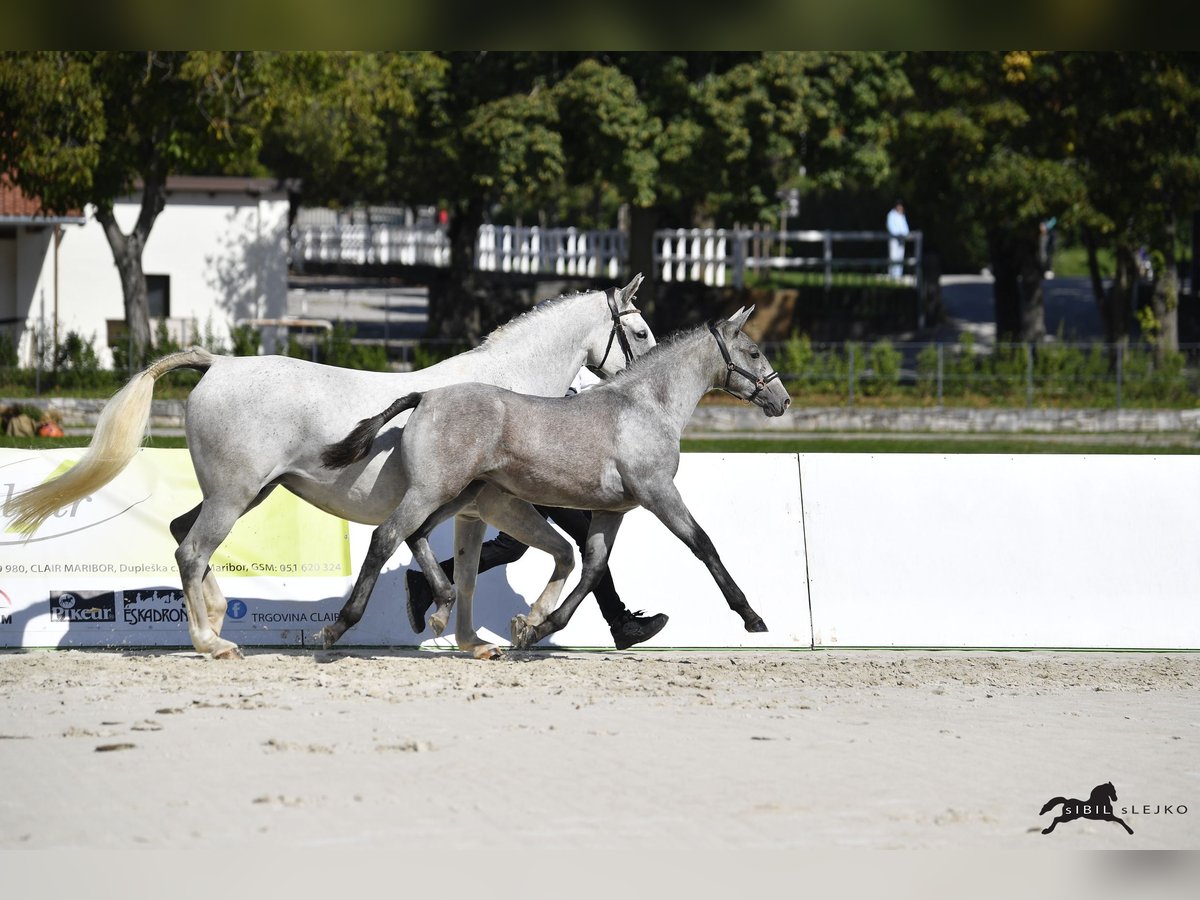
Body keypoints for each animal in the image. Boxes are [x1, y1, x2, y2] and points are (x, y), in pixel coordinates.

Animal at [5, 277, 654, 660]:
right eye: (641, 331)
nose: (644, 388)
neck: (502, 393)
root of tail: (217, 364)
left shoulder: (471, 511)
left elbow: (469, 572)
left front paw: (470, 641)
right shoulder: (495, 502)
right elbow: (542, 553)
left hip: (249, 493)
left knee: (180, 534)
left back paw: (215, 618)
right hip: (235, 496)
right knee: (190, 549)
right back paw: (211, 642)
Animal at [317, 307, 790, 656]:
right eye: (752, 353)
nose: (782, 400)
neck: (643, 406)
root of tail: (425, 396)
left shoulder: (612, 510)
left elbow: (593, 568)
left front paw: (537, 628)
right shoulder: (658, 492)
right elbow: (703, 545)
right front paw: (752, 617)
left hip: (456, 494)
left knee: (415, 536)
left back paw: (437, 608)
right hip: (433, 491)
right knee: (386, 536)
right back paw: (338, 628)